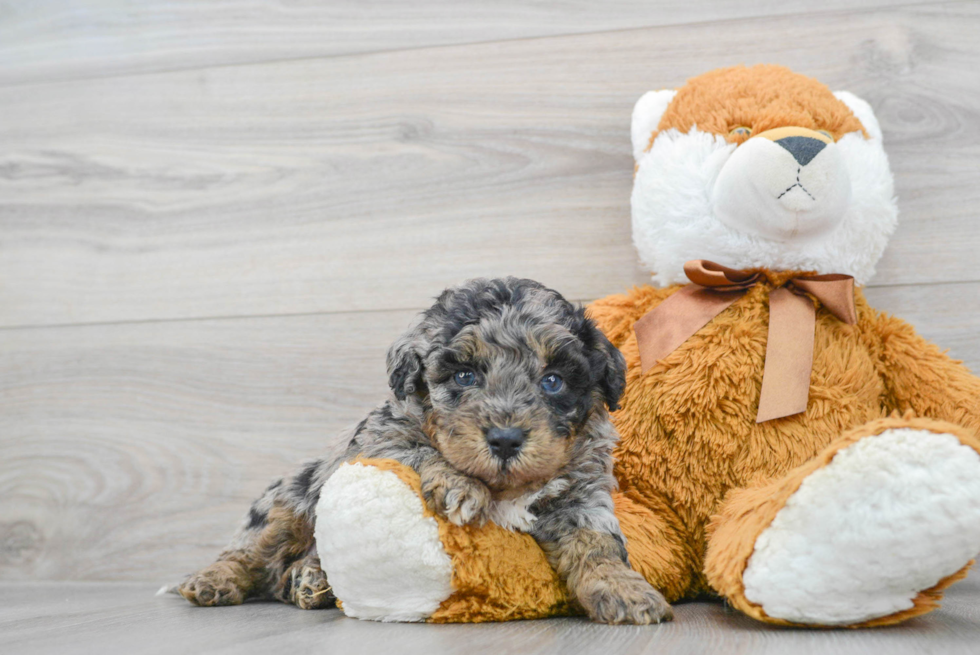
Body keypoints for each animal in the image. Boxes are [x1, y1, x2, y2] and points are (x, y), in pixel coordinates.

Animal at [176, 276, 672, 624]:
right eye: (465, 375)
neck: (505, 487)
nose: (505, 439)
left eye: (553, 381)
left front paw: (626, 590)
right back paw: (214, 581)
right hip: (288, 501)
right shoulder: (380, 439)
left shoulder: (581, 495)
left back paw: (311, 580)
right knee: (250, 551)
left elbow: (598, 544)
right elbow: (422, 451)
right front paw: (460, 487)